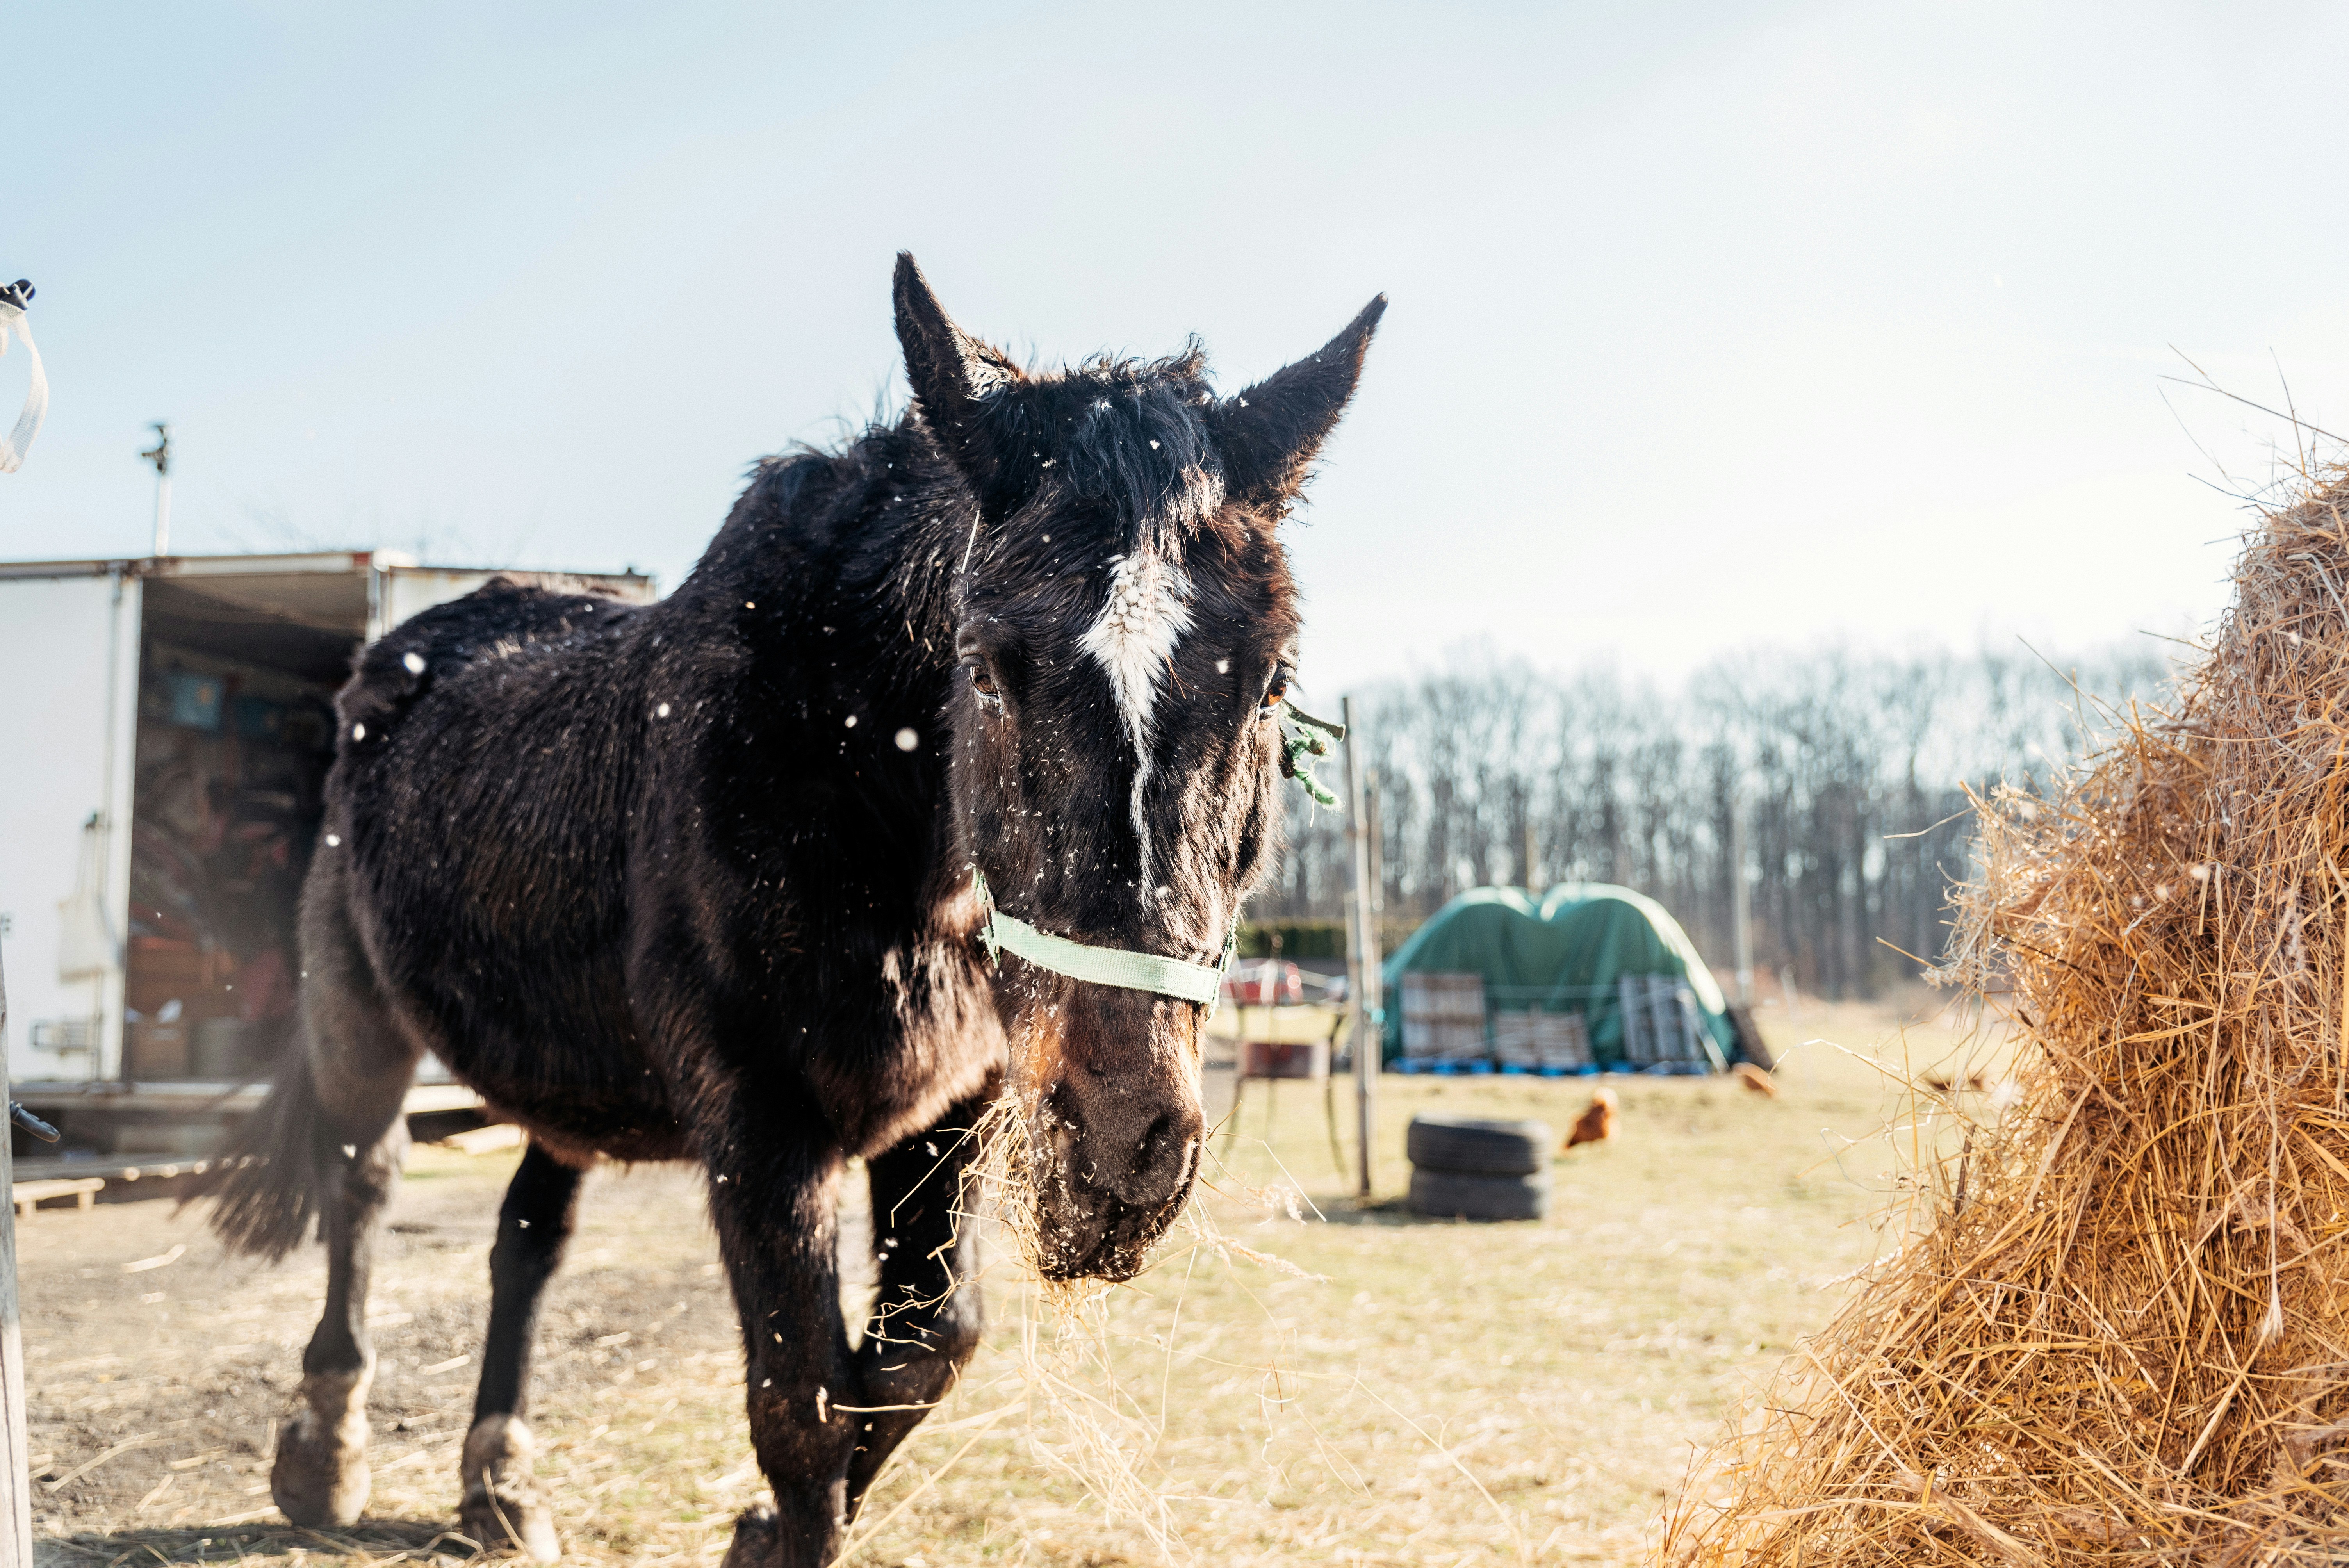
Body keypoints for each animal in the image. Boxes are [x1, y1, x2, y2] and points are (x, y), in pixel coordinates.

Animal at [203, 254, 1383, 1566]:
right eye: (987, 666)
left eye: (1271, 681)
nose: (1120, 1151)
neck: (848, 778)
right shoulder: (762, 1129)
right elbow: (803, 1404)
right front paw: (782, 1518)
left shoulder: (955, 1110)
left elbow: (918, 1352)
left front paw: (759, 1526)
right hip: (356, 1017)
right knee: (361, 1192)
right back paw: (323, 1453)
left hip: (567, 1074)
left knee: (525, 1238)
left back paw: (496, 1480)